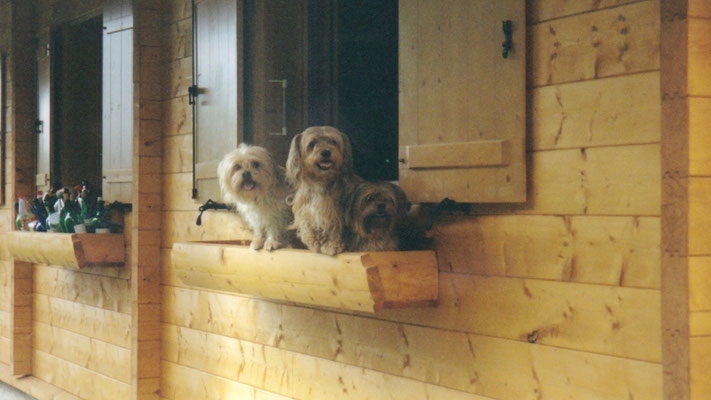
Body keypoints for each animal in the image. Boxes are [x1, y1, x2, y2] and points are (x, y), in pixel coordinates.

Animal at [286, 126, 362, 256]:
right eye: (312, 143)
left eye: (333, 142)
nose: (326, 152)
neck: (321, 181)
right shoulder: (304, 209)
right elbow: (306, 225)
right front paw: (313, 242)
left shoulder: (336, 214)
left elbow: (335, 230)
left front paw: (332, 245)